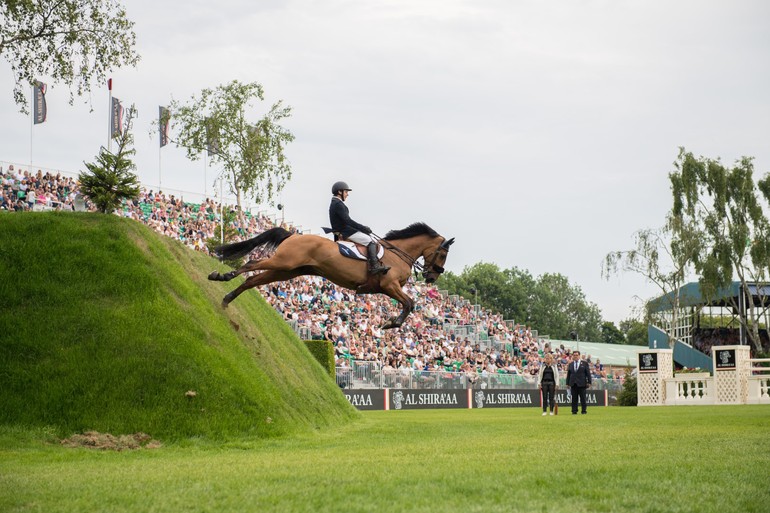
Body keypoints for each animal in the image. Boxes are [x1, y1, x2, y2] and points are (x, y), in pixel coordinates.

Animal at [207, 221, 452, 328]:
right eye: (442, 255)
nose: (432, 278)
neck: (398, 253)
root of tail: (293, 235)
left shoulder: (387, 289)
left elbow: (409, 303)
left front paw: (392, 322)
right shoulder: (389, 286)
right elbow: (410, 303)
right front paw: (392, 323)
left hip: (286, 271)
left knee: (252, 280)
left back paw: (226, 299)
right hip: (283, 262)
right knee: (251, 263)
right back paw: (220, 276)